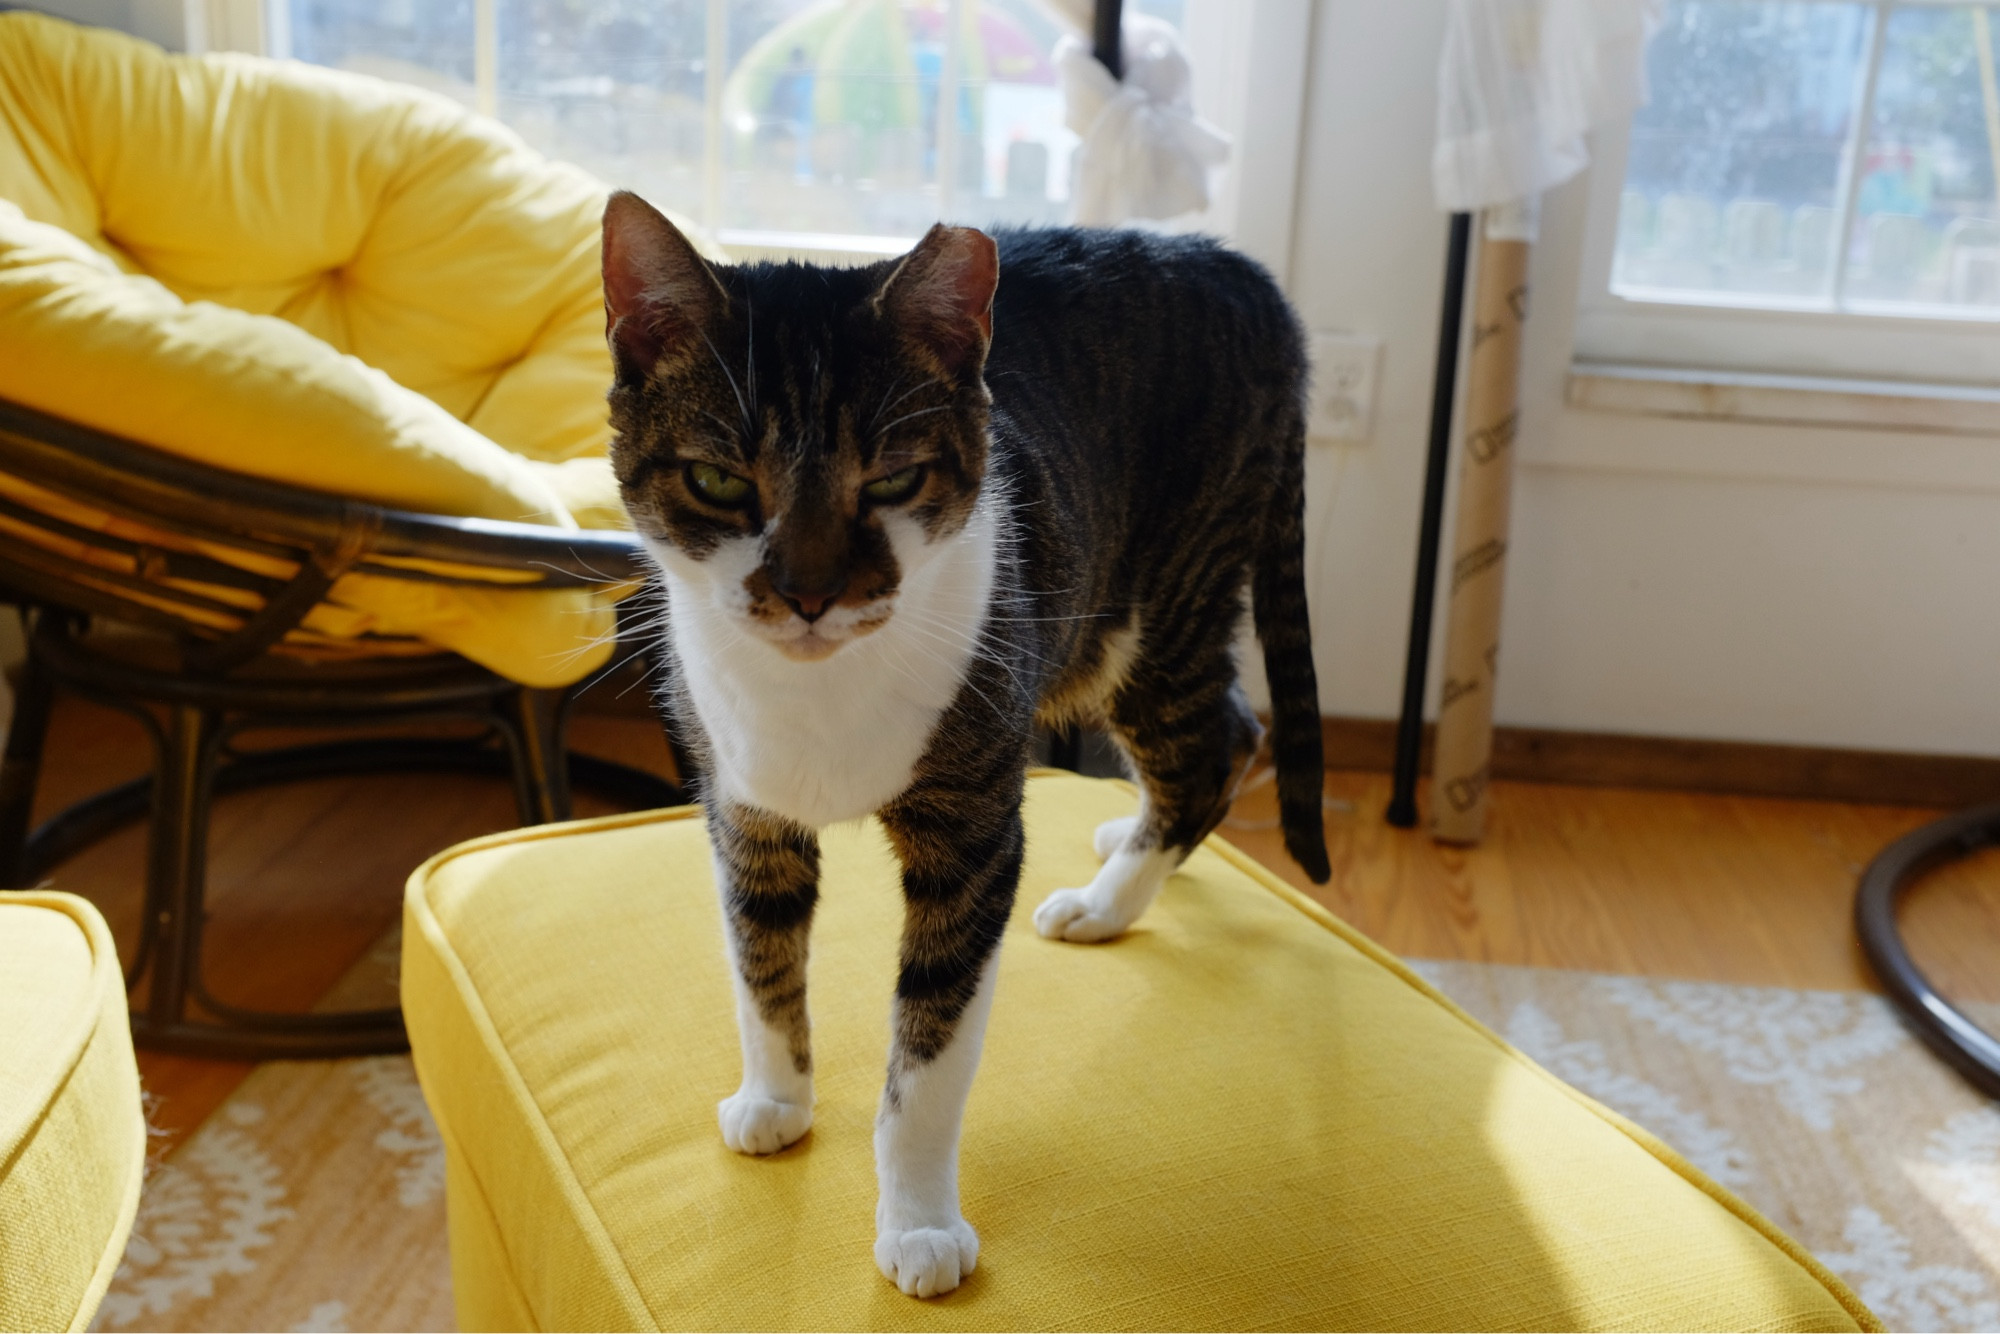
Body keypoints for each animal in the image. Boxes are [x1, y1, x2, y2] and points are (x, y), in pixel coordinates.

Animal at [600, 193, 1336, 1296]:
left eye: (894, 479)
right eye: (717, 480)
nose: (809, 594)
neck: (816, 693)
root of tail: (1234, 266)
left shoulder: (973, 831)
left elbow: (930, 1049)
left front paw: (917, 1223)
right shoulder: (742, 806)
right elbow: (759, 960)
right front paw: (776, 1098)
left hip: (1150, 605)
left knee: (1215, 738)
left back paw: (1105, 901)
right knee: (1230, 728)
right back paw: (1122, 847)